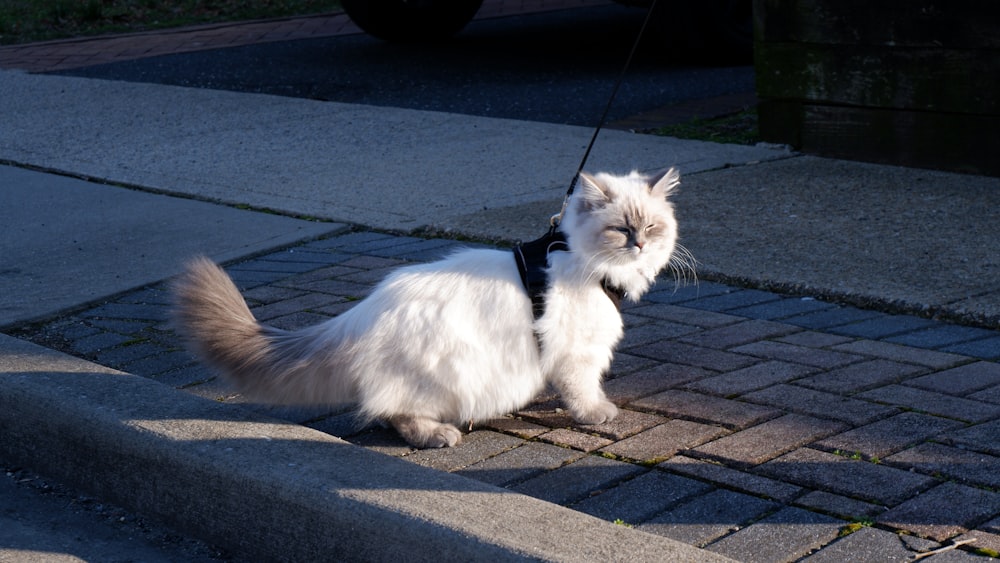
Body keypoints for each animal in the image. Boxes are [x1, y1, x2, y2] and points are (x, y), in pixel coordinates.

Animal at [172, 170, 688, 448]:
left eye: (652, 227)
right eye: (621, 229)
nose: (640, 245)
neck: (586, 263)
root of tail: (363, 312)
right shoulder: (578, 354)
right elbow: (583, 392)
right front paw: (598, 413)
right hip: (443, 372)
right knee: (393, 411)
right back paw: (438, 435)